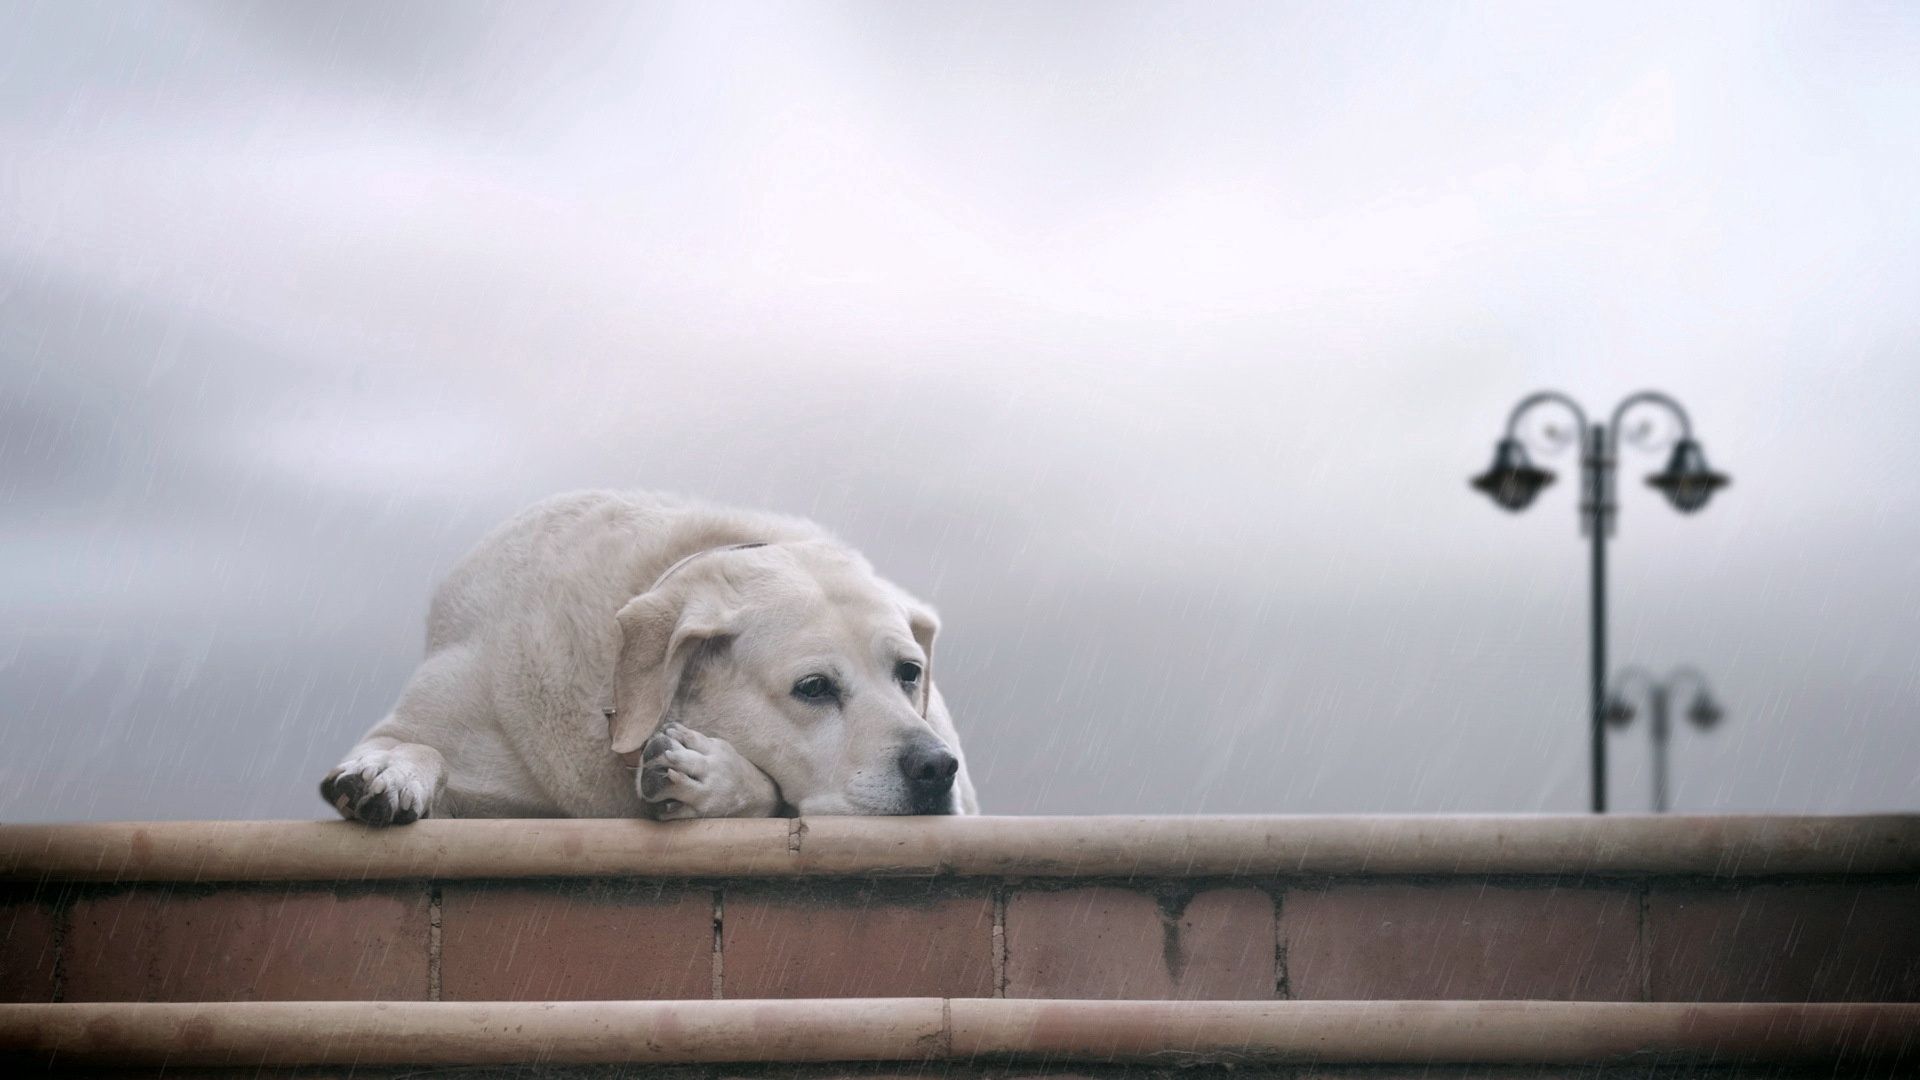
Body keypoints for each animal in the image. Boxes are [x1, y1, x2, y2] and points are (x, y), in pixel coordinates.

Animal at [322, 491, 975, 818]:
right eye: (813, 687)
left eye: (909, 673)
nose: (934, 768)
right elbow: (414, 743)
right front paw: (390, 771)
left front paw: (708, 775)